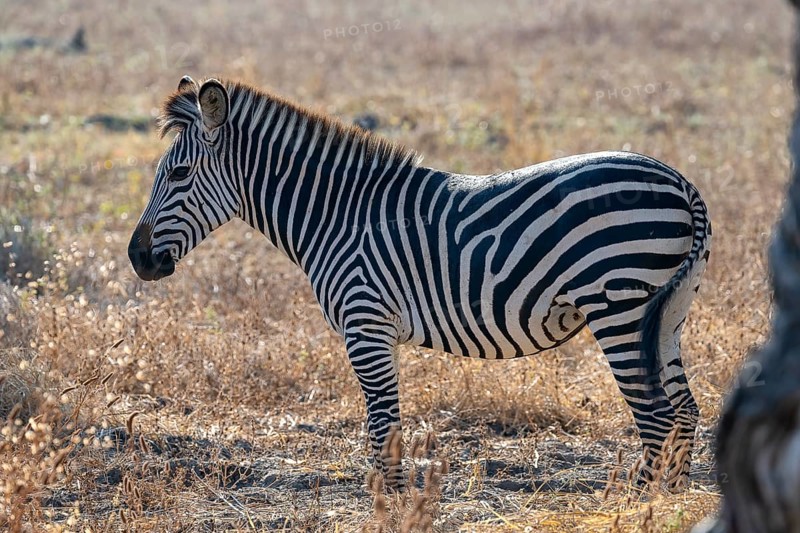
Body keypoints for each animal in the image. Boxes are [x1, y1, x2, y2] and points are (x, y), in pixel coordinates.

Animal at [128, 76, 711, 491]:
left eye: (178, 175)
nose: (137, 258)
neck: (338, 216)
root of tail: (681, 182)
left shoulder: (365, 325)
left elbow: (383, 429)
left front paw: (391, 505)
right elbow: (384, 429)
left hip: (618, 306)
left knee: (657, 416)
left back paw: (638, 502)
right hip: (668, 311)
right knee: (684, 411)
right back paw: (669, 502)